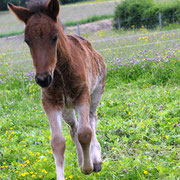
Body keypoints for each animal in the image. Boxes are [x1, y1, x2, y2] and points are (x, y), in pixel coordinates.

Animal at [8, 0, 106, 179]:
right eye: (27, 41)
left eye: (54, 37)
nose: (43, 79)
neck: (60, 74)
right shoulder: (51, 103)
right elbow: (58, 142)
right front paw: (80, 166)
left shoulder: (82, 96)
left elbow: (85, 133)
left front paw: (89, 167)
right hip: (66, 108)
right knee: (73, 128)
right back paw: (81, 160)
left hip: (96, 93)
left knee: (91, 119)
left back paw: (95, 160)